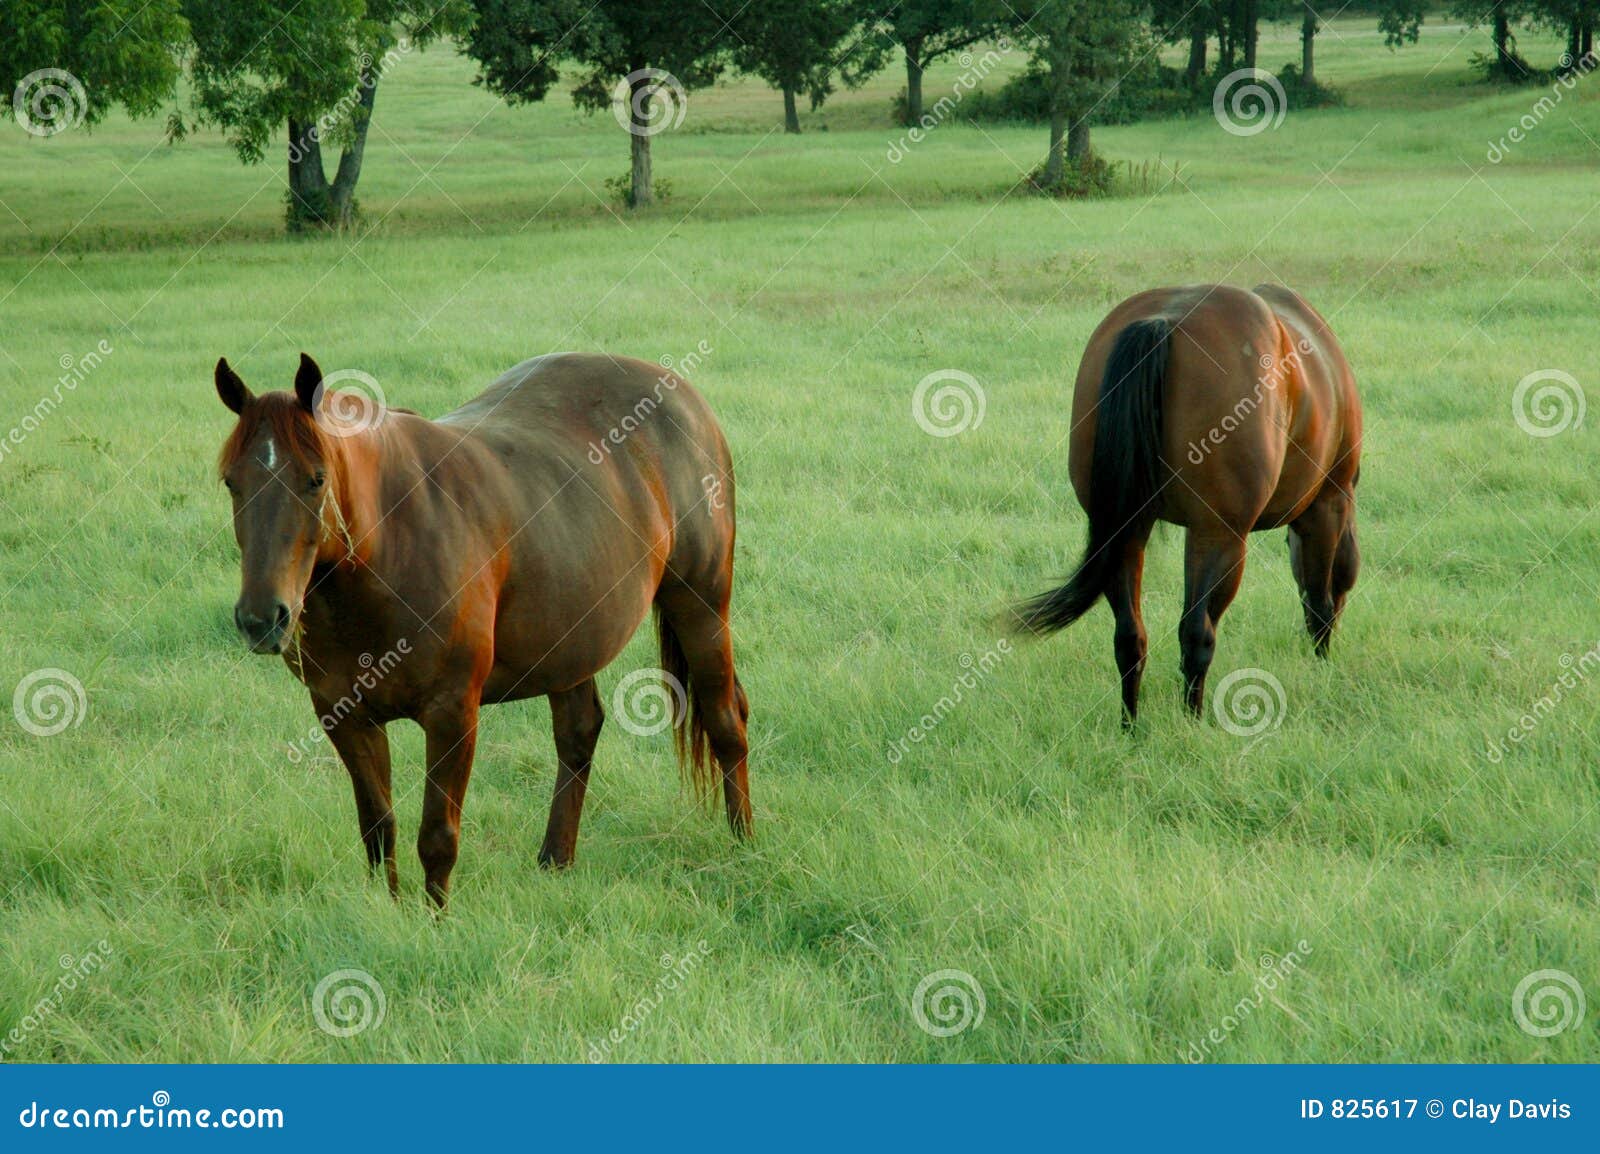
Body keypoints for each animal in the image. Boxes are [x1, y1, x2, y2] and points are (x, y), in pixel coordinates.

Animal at [211, 347, 748, 902]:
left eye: (316, 479)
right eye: (232, 482)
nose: (261, 619)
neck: (390, 543)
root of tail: (685, 399)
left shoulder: (452, 712)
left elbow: (437, 837)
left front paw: (435, 917)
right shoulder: (343, 715)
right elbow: (378, 829)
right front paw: (391, 910)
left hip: (701, 603)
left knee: (726, 719)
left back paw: (744, 846)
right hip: (571, 637)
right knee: (579, 732)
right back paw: (555, 860)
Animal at [1017, 283, 1356, 723]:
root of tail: (1166, 319)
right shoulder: (1327, 504)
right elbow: (1317, 601)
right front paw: (1321, 665)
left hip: (1125, 532)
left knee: (1130, 636)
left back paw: (1131, 725)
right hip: (1218, 536)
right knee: (1197, 632)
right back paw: (1192, 720)